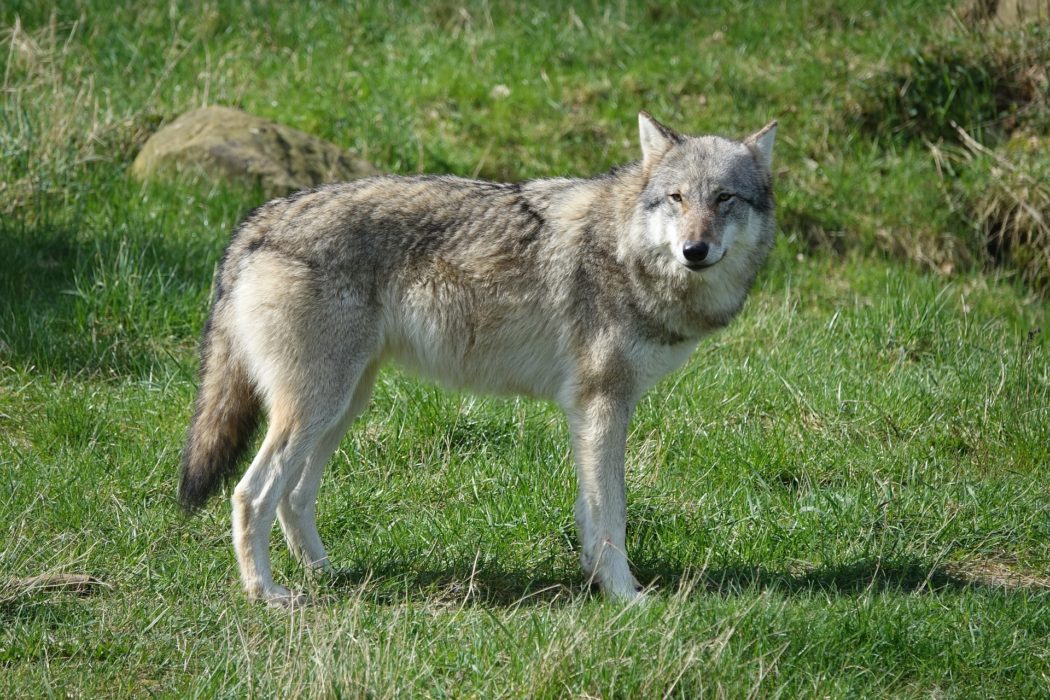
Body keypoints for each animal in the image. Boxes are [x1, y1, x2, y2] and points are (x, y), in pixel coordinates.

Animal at [178, 112, 777, 606]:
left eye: (724, 199)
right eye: (676, 198)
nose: (694, 251)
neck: (625, 250)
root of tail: (256, 220)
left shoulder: (588, 411)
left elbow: (590, 511)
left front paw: (595, 581)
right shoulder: (602, 403)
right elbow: (612, 512)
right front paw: (626, 597)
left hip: (343, 405)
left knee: (293, 497)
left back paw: (328, 574)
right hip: (318, 407)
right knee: (251, 494)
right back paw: (267, 594)